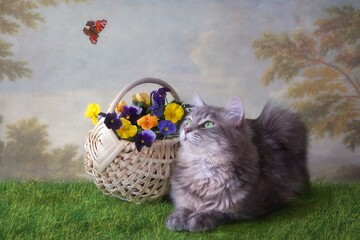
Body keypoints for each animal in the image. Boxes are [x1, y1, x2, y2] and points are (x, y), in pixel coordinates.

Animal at [166, 95, 310, 231]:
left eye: (208, 124)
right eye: (188, 121)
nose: (186, 130)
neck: (204, 169)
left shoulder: (247, 211)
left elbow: (216, 212)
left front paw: (198, 219)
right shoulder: (181, 198)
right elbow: (182, 208)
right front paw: (176, 219)